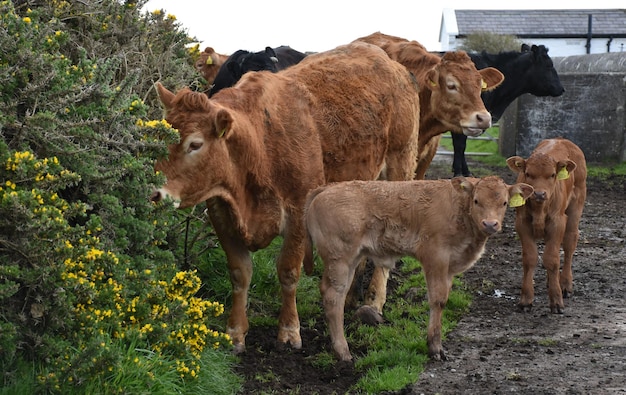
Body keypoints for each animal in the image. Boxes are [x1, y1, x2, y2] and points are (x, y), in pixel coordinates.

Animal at [150, 41, 420, 354]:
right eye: (160, 134)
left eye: (195, 144)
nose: (154, 191)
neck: (259, 145)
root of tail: (390, 62)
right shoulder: (221, 213)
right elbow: (239, 273)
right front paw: (235, 333)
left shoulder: (297, 215)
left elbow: (288, 272)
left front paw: (289, 331)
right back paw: (352, 295)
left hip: (400, 165)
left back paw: (373, 302)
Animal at [304, 176, 532, 362]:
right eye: (477, 201)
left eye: (504, 203)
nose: (490, 224)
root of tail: (327, 187)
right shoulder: (435, 257)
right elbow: (437, 300)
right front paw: (435, 348)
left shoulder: (449, 267)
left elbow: (444, 299)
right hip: (340, 258)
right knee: (333, 296)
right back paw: (343, 352)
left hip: (351, 259)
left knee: (338, 295)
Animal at [448, 43, 560, 178]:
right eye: (549, 65)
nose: (561, 88)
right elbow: (460, 145)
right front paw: (459, 173)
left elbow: (461, 144)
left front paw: (465, 172)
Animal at [502, 138, 584, 314]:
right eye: (528, 174)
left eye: (552, 175)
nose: (539, 193)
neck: (540, 208)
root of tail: (560, 139)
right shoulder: (522, 223)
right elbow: (530, 258)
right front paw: (526, 300)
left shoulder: (557, 222)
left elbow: (552, 259)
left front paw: (557, 300)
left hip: (576, 208)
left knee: (569, 244)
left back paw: (565, 284)